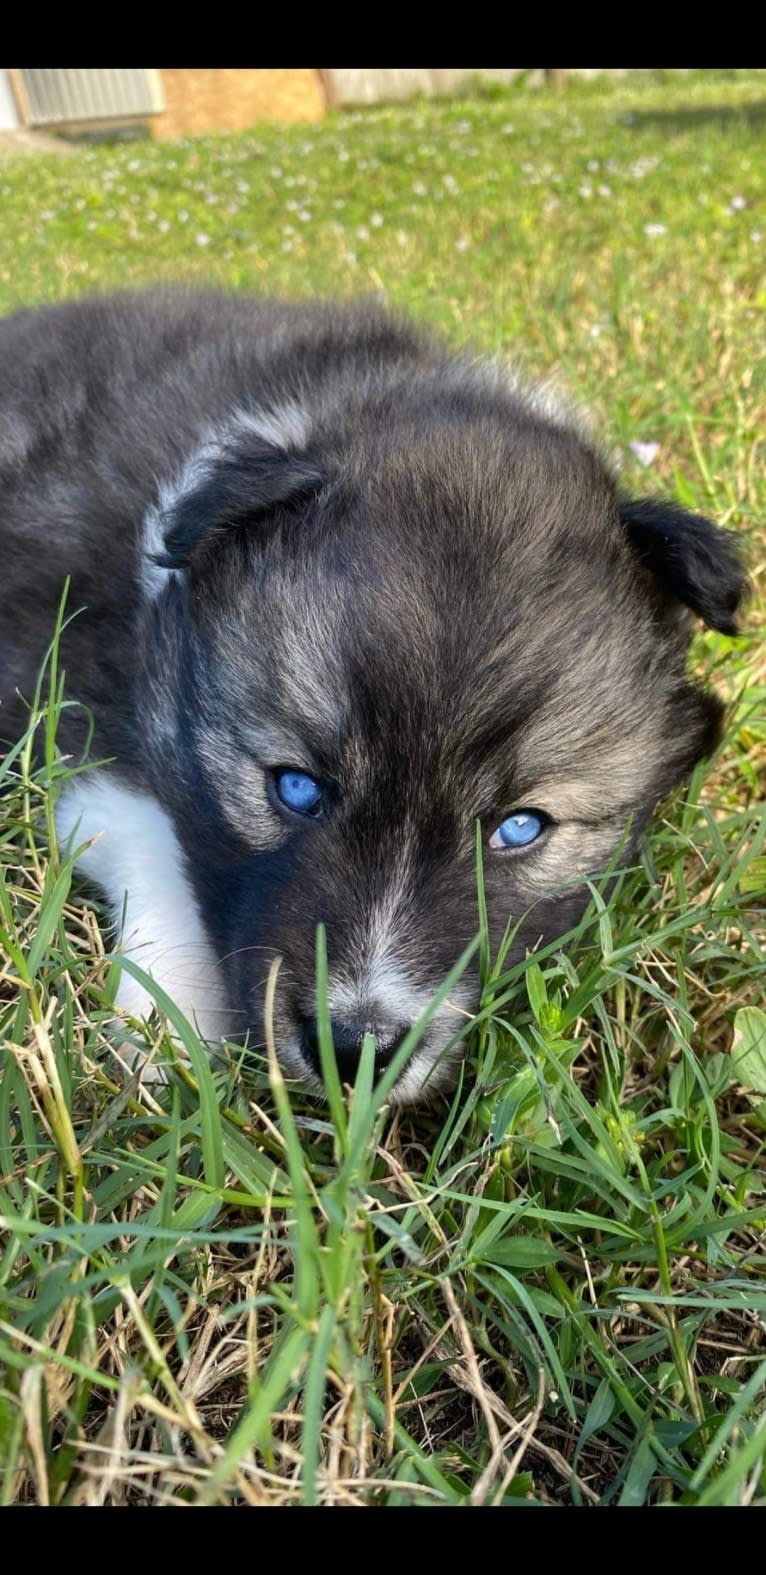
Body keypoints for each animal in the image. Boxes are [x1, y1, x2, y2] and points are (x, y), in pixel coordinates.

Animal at [0, 289, 743, 1102]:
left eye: (520, 828)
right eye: (295, 787)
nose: (354, 1048)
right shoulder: (67, 670)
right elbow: (145, 820)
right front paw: (171, 1022)